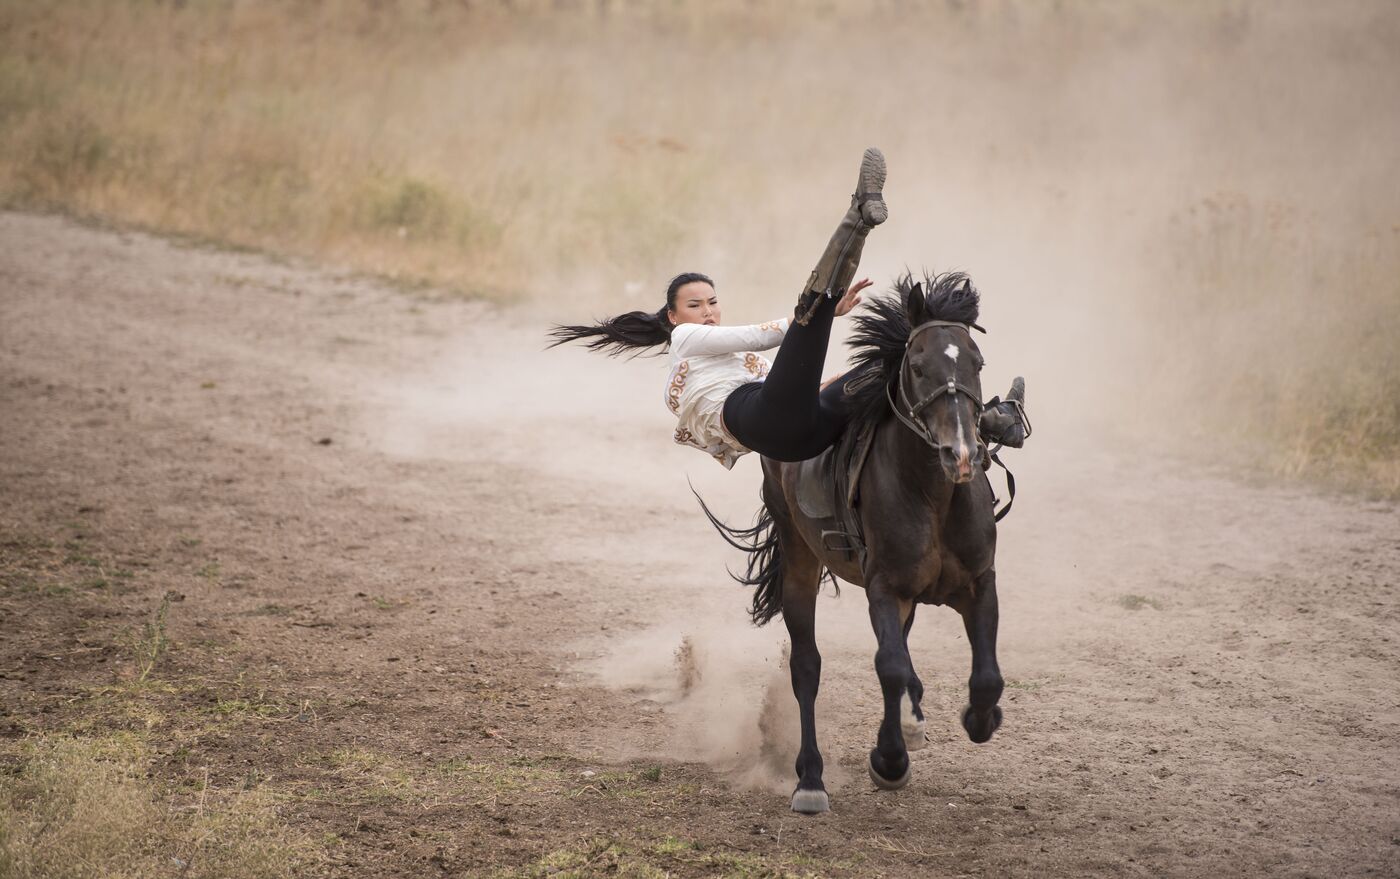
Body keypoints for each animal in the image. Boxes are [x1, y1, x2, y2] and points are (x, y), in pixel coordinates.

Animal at [700, 271, 1008, 811]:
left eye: (977, 362)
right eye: (918, 366)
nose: (962, 454)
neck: (934, 497)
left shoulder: (978, 582)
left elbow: (986, 675)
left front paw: (979, 718)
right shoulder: (885, 588)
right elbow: (889, 665)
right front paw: (889, 761)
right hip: (799, 557)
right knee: (807, 666)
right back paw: (810, 780)